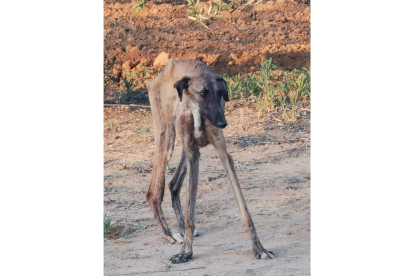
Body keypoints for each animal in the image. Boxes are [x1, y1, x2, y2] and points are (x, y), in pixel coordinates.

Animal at [146, 57, 274, 264]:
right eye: (202, 93)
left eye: (220, 93)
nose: (222, 123)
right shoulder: (193, 156)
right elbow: (190, 213)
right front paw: (185, 252)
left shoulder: (221, 154)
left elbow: (245, 211)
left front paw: (259, 249)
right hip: (168, 139)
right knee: (154, 192)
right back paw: (169, 234)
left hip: (185, 150)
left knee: (173, 185)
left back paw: (179, 229)